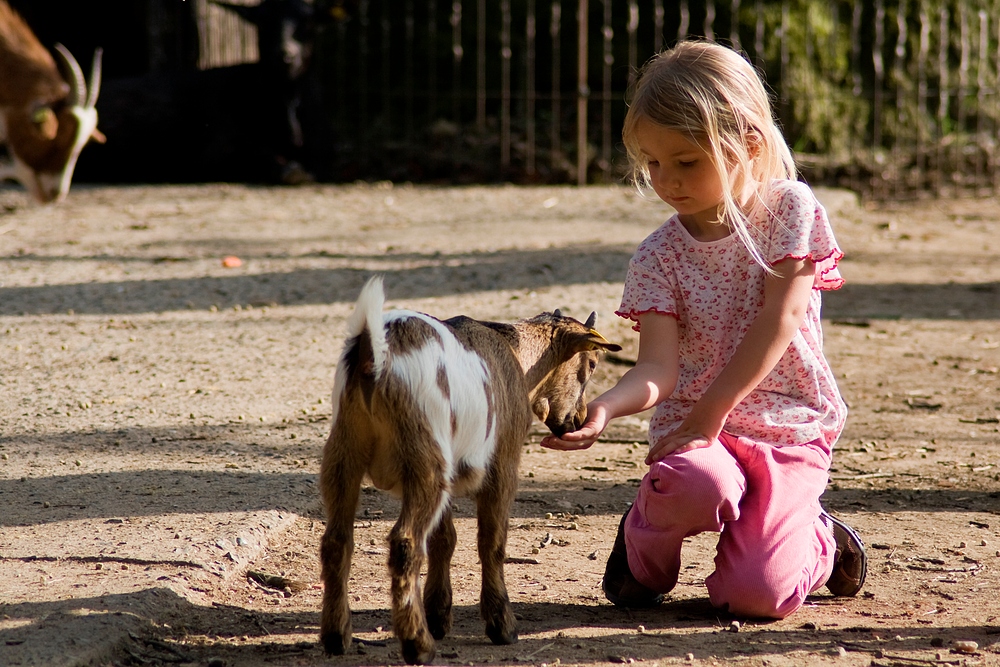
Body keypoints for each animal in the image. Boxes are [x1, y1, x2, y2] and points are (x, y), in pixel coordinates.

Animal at [320, 276, 616, 664]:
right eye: (592, 364)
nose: (579, 419)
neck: (517, 355)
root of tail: (374, 355)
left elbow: (444, 538)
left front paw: (438, 616)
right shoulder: (503, 464)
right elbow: (492, 541)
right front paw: (501, 625)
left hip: (345, 451)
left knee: (337, 541)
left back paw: (336, 637)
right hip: (425, 458)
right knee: (405, 544)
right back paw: (417, 644)